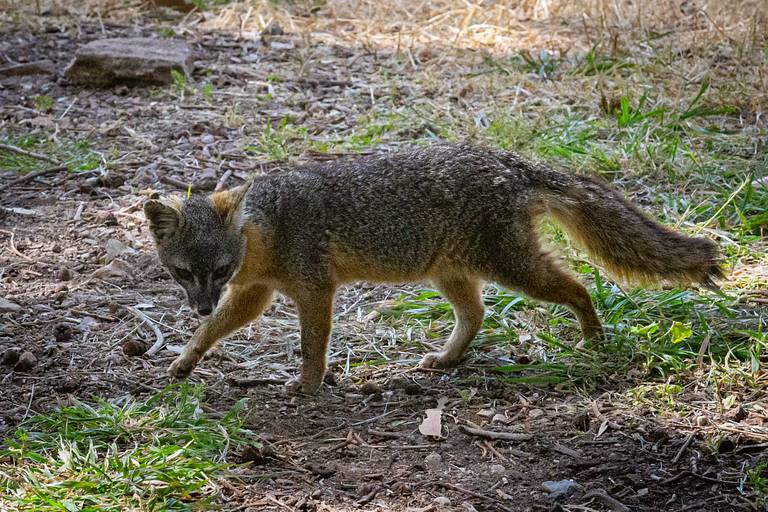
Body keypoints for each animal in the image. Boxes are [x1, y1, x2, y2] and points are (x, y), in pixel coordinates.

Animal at [144, 144, 722, 394]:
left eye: (219, 268)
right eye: (184, 274)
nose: (200, 303)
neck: (269, 231)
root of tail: (508, 159)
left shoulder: (314, 289)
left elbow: (312, 345)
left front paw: (307, 386)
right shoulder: (256, 294)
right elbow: (212, 332)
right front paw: (184, 361)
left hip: (513, 269)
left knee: (579, 287)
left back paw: (594, 339)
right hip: (451, 274)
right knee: (478, 314)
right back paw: (446, 360)